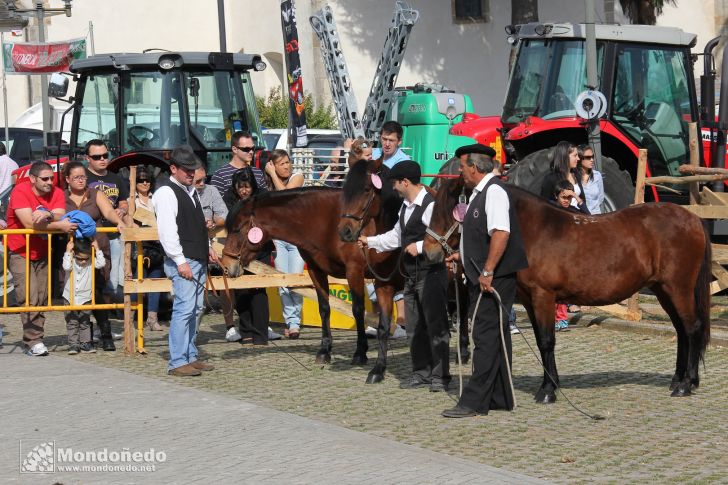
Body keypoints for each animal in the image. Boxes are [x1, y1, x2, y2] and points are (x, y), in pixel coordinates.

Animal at [222, 185, 404, 382]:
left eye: (237, 229)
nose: (225, 265)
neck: (327, 221)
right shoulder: (316, 270)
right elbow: (324, 309)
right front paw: (324, 351)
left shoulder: (354, 271)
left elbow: (357, 310)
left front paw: (360, 353)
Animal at [420, 175, 712, 400]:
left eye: (449, 212)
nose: (429, 251)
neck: (533, 230)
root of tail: (693, 219)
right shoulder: (529, 299)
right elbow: (541, 343)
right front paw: (552, 383)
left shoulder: (543, 297)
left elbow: (547, 341)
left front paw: (548, 391)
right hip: (664, 290)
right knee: (682, 331)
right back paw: (678, 379)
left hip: (678, 288)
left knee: (692, 328)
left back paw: (687, 384)